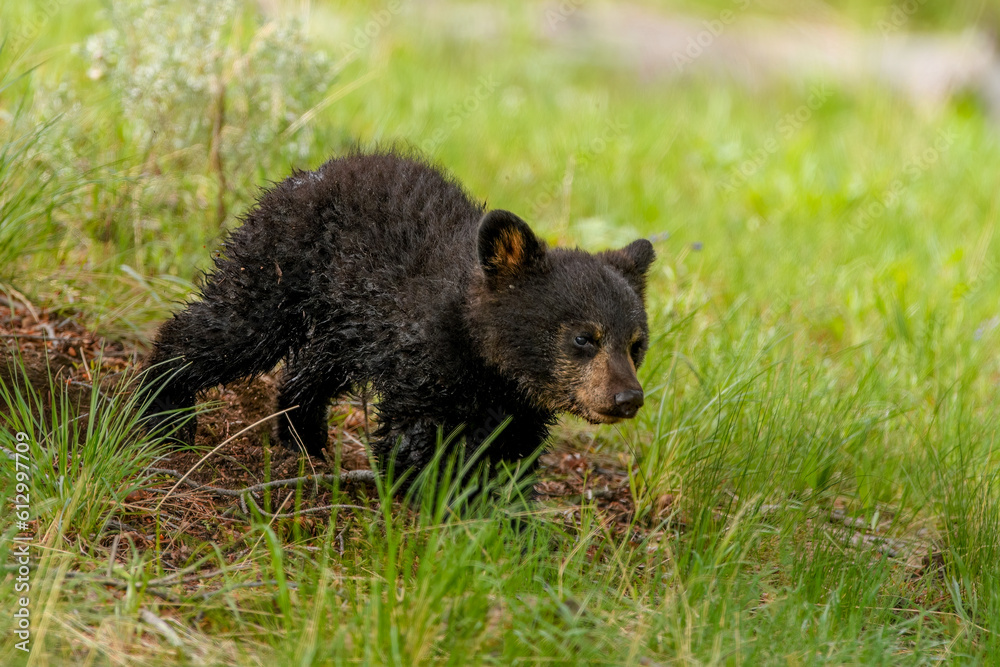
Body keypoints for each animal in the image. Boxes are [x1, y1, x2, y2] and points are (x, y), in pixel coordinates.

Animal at [140, 149, 654, 485]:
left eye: (637, 344)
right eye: (584, 337)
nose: (628, 397)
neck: (489, 364)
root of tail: (308, 174)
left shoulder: (518, 408)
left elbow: (510, 457)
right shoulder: (423, 365)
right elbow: (415, 440)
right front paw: (430, 503)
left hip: (344, 324)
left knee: (309, 373)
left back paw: (305, 443)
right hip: (277, 269)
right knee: (228, 328)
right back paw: (164, 413)